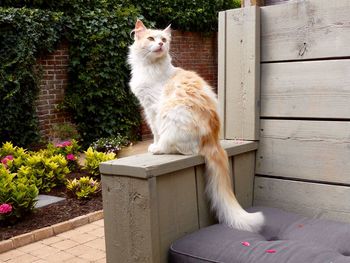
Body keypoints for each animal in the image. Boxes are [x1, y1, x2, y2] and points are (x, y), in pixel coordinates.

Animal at [127, 19, 264, 232]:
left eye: (164, 39)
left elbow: (156, 132)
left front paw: (154, 146)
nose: (161, 45)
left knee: (179, 148)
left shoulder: (154, 108)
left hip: (172, 114)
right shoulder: (147, 107)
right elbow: (154, 131)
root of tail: (213, 138)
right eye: (151, 38)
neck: (151, 68)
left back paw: (159, 149)